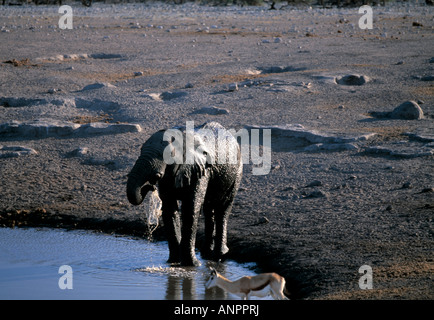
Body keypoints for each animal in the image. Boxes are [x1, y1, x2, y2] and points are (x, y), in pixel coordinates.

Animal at [126, 121, 244, 266]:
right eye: (141, 150)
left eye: (166, 154)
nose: (150, 185)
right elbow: (169, 209)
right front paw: (173, 262)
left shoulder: (201, 170)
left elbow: (190, 208)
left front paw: (192, 264)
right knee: (209, 208)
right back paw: (206, 254)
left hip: (237, 171)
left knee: (223, 208)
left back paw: (219, 255)